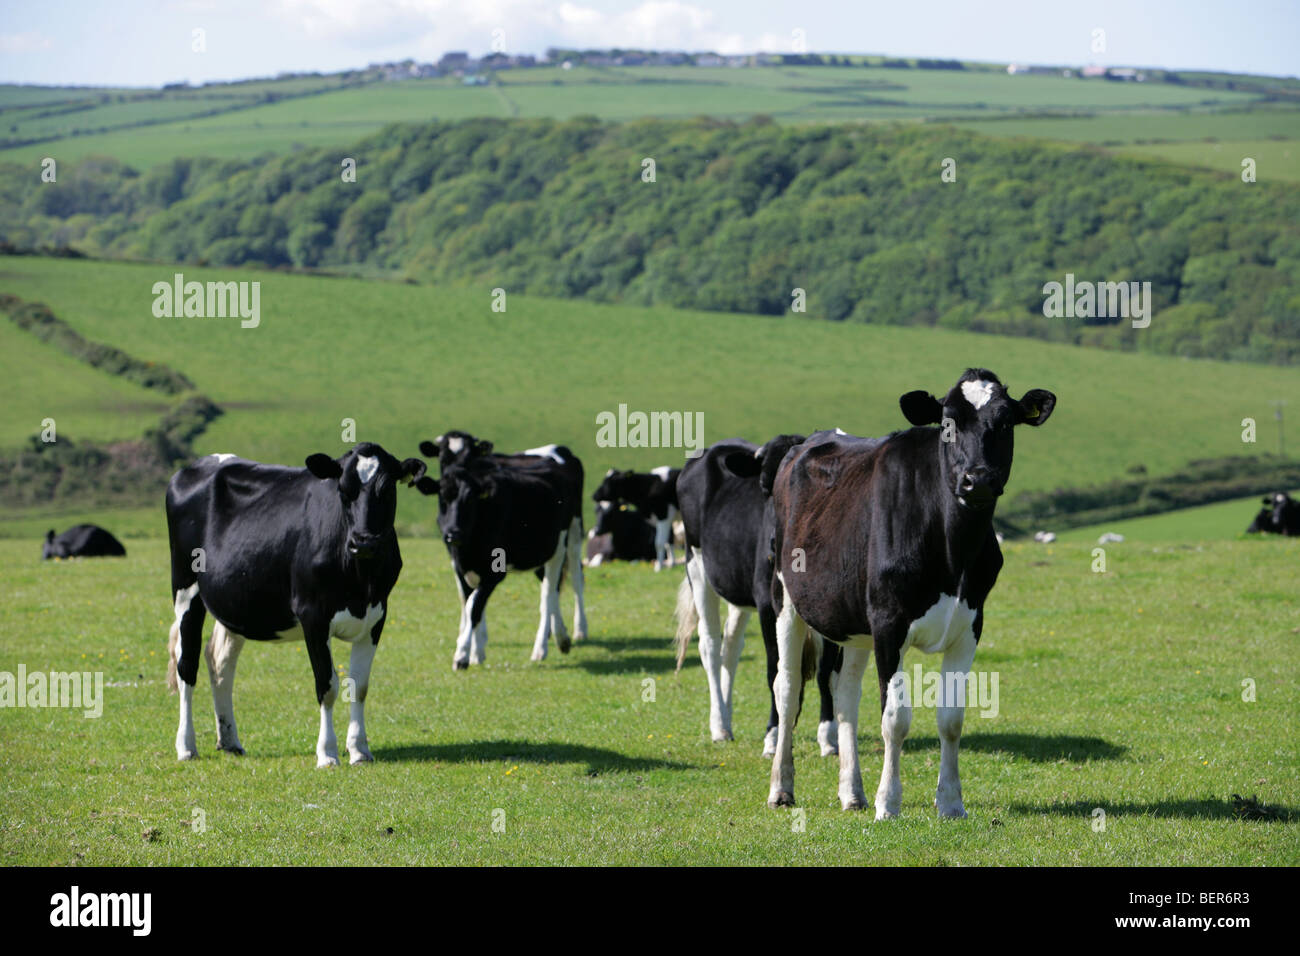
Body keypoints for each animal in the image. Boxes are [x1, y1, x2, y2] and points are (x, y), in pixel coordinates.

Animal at [164, 445, 427, 767]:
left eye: (387, 489)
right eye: (343, 490)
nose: (363, 542)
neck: (360, 581)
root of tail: (195, 467)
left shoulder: (377, 616)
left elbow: (360, 686)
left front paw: (360, 750)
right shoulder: (313, 615)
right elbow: (327, 686)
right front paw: (327, 753)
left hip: (233, 602)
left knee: (219, 661)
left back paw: (230, 741)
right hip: (186, 589)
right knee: (186, 666)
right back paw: (186, 746)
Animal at [417, 431, 588, 668]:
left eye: (470, 499)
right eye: (442, 497)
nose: (452, 534)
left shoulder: (494, 572)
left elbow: (473, 606)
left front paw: (463, 654)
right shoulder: (459, 566)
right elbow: (469, 603)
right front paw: (476, 651)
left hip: (569, 536)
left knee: (561, 586)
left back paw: (553, 642)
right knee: (552, 588)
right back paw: (559, 637)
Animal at [674, 435, 841, 753]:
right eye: (765, 486)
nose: (776, 544)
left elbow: (827, 671)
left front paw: (828, 736)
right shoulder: (767, 604)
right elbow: (775, 671)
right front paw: (773, 736)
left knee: (731, 646)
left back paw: (727, 717)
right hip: (696, 564)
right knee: (710, 645)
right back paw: (719, 725)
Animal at [765, 369, 1056, 819]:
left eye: (1006, 422)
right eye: (948, 422)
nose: (978, 480)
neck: (954, 552)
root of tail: (809, 439)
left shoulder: (970, 624)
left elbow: (951, 719)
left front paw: (951, 802)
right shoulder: (889, 623)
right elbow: (895, 719)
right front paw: (889, 802)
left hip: (854, 622)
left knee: (845, 694)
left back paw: (852, 792)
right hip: (786, 600)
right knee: (788, 687)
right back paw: (782, 787)